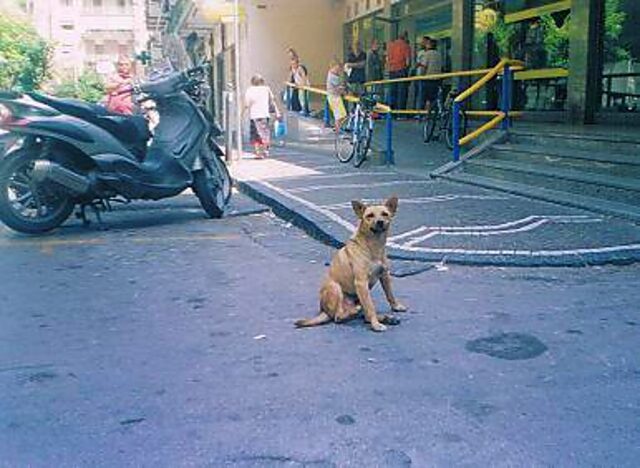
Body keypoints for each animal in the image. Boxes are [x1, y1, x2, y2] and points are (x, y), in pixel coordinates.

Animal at [294, 196, 404, 330]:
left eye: (385, 214)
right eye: (370, 215)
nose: (380, 222)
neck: (374, 246)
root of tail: (324, 311)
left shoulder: (385, 275)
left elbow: (390, 294)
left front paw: (396, 307)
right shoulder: (361, 282)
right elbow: (370, 307)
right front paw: (376, 325)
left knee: (365, 315)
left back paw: (386, 318)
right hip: (335, 287)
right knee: (339, 317)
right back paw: (355, 312)